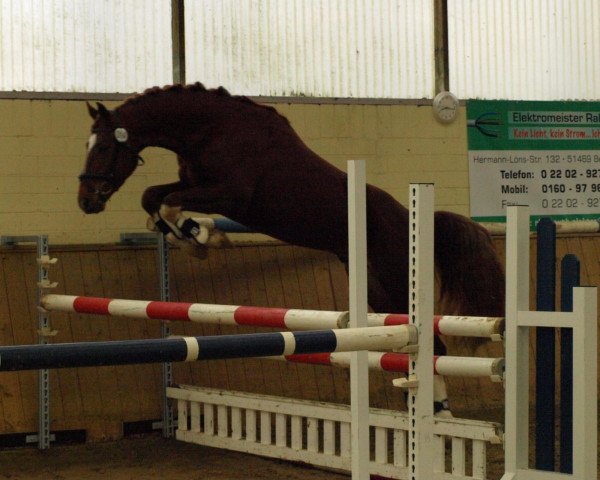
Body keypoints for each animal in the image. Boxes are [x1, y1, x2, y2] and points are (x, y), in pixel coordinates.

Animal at [77, 84, 504, 414]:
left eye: (104, 149)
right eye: (88, 145)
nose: (86, 202)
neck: (211, 129)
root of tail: (412, 218)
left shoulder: (230, 195)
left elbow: (165, 202)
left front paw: (198, 238)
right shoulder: (193, 184)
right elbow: (154, 198)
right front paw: (191, 235)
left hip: (398, 279)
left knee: (433, 342)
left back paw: (439, 411)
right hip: (377, 289)